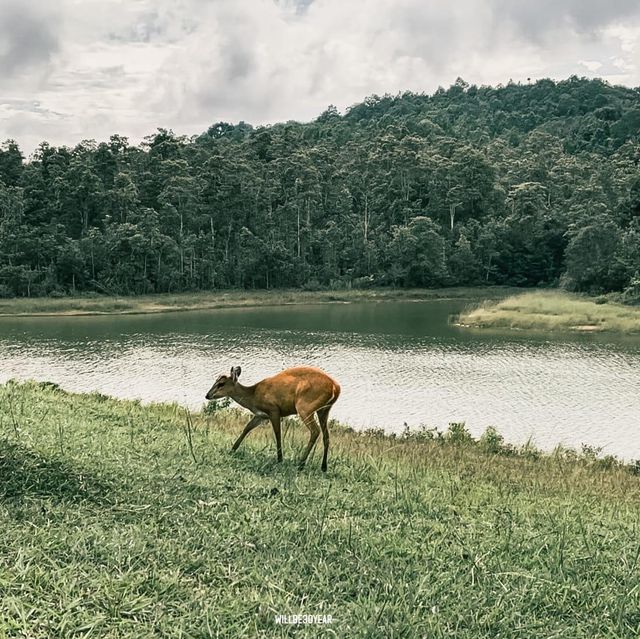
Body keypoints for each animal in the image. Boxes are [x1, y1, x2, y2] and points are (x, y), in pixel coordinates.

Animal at [208, 368, 342, 472]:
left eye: (221, 383)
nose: (207, 395)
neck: (253, 396)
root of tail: (335, 387)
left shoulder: (274, 410)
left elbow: (277, 434)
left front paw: (279, 459)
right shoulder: (261, 415)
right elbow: (247, 428)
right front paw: (232, 449)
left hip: (305, 407)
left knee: (315, 431)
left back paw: (300, 464)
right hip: (324, 410)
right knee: (326, 435)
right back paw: (323, 467)